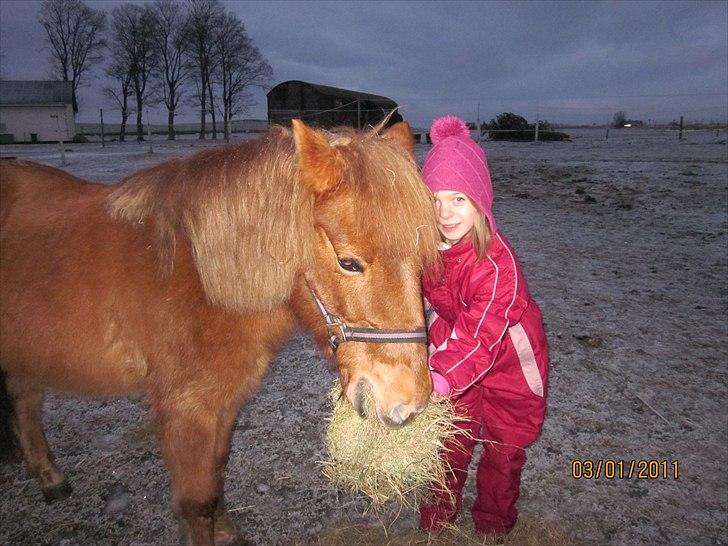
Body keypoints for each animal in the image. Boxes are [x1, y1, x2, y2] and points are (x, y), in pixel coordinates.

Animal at [0, 120, 440, 544]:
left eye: (422, 259)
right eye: (349, 263)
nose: (409, 402)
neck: (199, 280)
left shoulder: (227, 399)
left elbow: (218, 471)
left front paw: (226, 529)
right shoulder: (185, 411)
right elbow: (198, 501)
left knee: (24, 396)